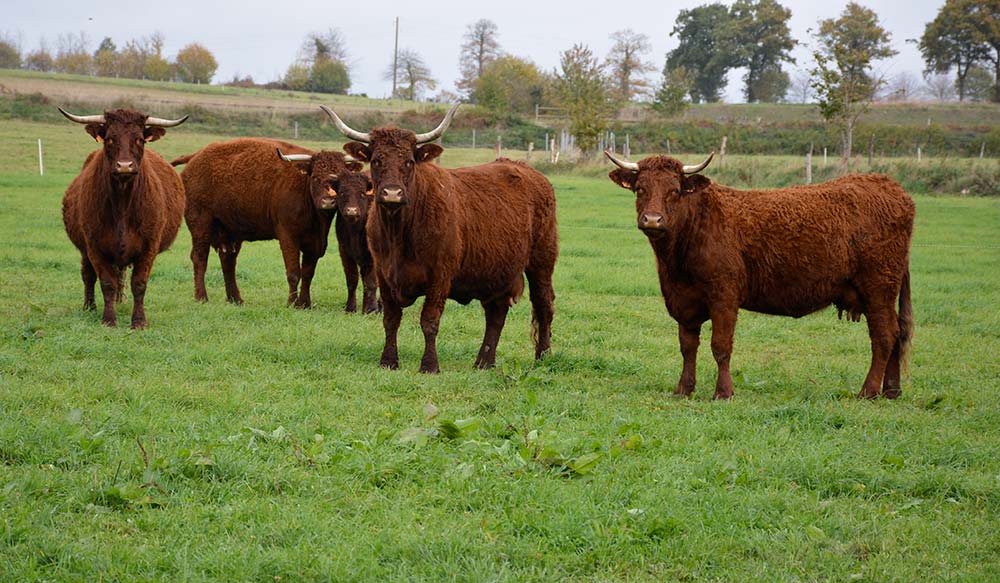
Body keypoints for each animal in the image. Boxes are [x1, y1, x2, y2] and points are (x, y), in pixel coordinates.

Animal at [600, 149, 916, 402]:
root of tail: (892, 188)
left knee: (884, 336)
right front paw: (683, 389)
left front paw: (723, 392)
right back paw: (891, 390)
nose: (653, 220)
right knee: (896, 333)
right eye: (640, 188)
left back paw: (869, 391)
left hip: (878, 288)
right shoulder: (683, 301)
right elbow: (688, 347)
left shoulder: (724, 297)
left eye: (675, 190)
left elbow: (721, 346)